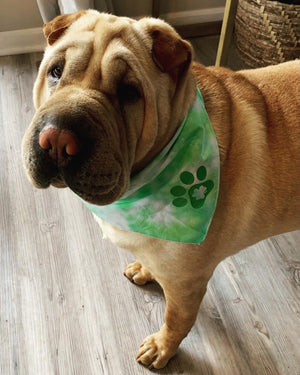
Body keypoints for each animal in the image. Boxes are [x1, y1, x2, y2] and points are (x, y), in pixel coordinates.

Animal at [21, 10, 300, 372]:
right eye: (55, 72)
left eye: (129, 92)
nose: (56, 140)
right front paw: (145, 268)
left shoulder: (186, 285)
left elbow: (176, 320)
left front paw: (162, 348)